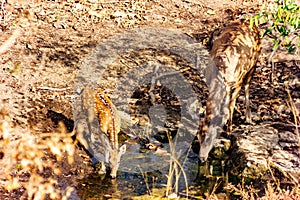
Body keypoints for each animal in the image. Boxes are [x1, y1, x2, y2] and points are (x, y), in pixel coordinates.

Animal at [197, 21, 260, 162]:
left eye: (210, 138)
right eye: (198, 136)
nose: (201, 158)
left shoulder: (237, 82)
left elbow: (230, 106)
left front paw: (229, 132)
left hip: (253, 63)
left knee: (247, 86)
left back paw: (248, 117)